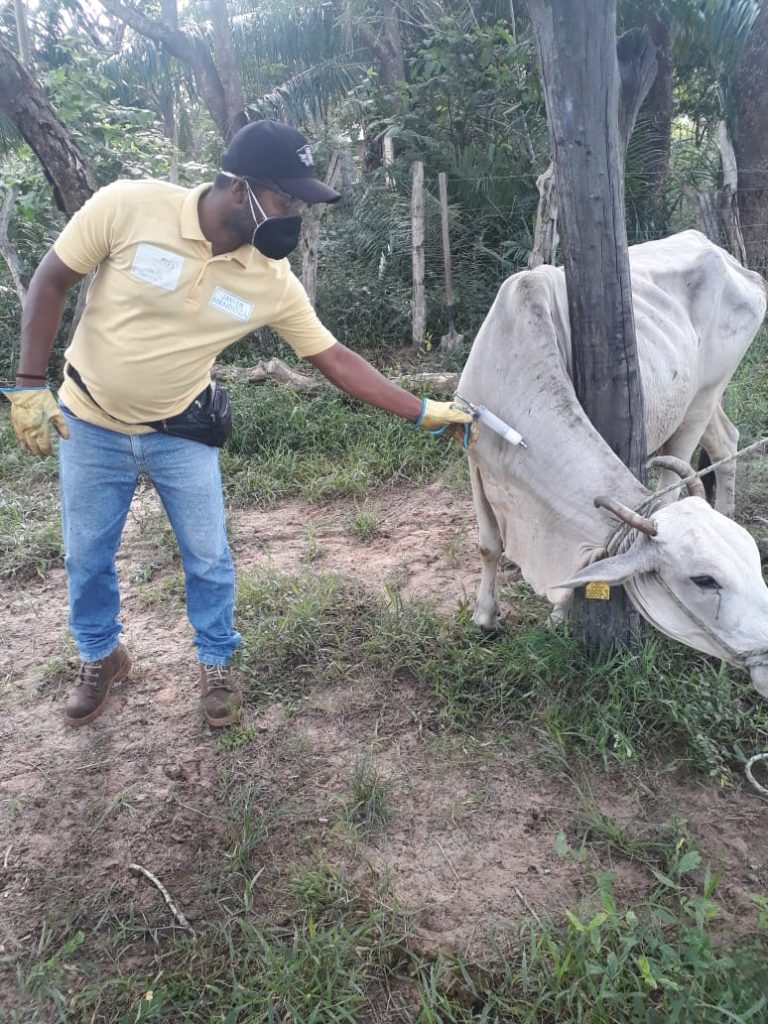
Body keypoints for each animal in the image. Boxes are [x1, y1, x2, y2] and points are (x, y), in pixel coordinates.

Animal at [456, 232, 768, 696]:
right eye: (705, 580)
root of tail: (735, 263)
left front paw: (557, 616)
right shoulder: (476, 461)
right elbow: (488, 546)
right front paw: (485, 618)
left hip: (702, 396)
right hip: (704, 400)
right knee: (726, 440)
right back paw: (727, 509)